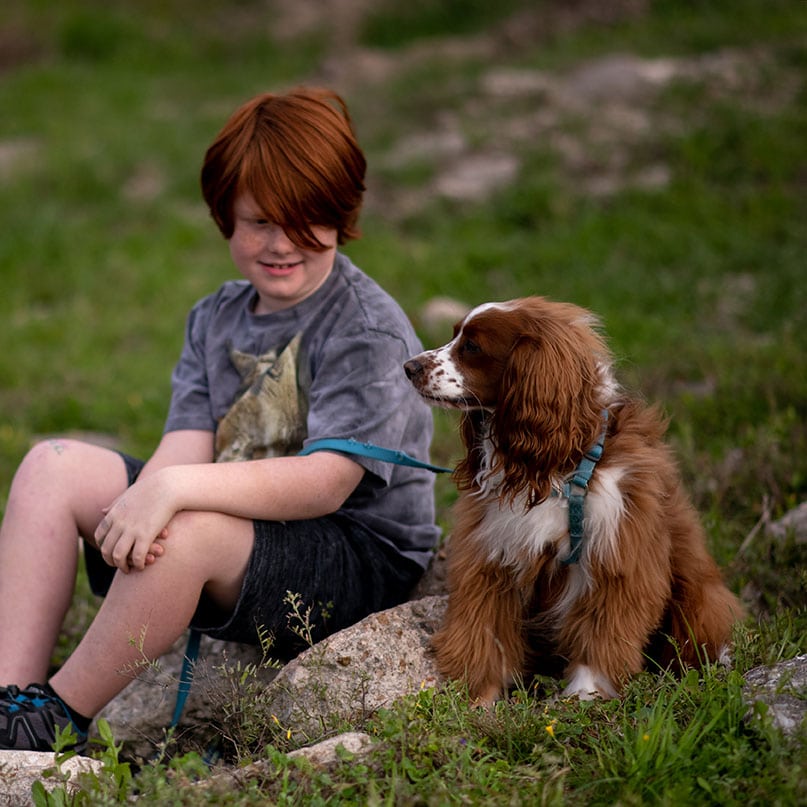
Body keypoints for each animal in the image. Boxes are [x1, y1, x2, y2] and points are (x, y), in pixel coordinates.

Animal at [404, 296, 744, 700]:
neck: (557, 467)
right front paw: (480, 698)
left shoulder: (616, 555)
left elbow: (600, 632)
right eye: (455, 334)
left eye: (472, 346)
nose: (409, 366)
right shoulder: (495, 555)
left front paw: (584, 695)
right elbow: (485, 631)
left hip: (700, 596)